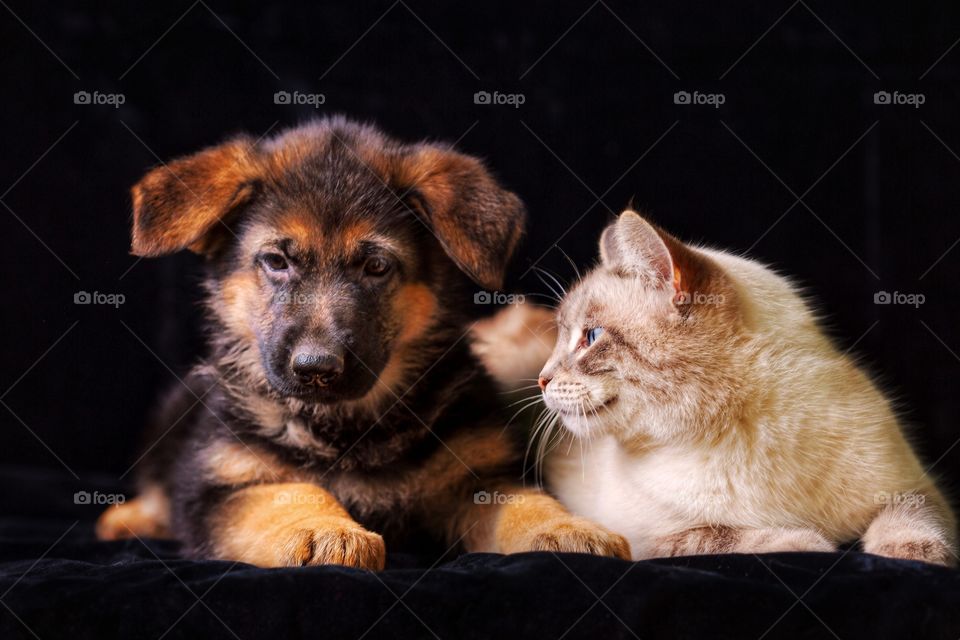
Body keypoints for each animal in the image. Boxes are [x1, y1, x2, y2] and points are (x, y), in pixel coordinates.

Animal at [99, 117, 632, 568]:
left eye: (375, 266)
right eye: (275, 261)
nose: (315, 368)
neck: (348, 429)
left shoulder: (480, 478)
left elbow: (526, 504)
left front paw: (569, 528)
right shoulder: (224, 484)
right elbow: (292, 492)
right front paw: (323, 530)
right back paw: (126, 519)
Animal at [536, 210, 956, 564]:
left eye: (591, 336)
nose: (542, 378)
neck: (737, 430)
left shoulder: (914, 487)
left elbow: (910, 518)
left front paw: (911, 554)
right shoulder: (648, 542)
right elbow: (731, 536)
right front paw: (811, 541)